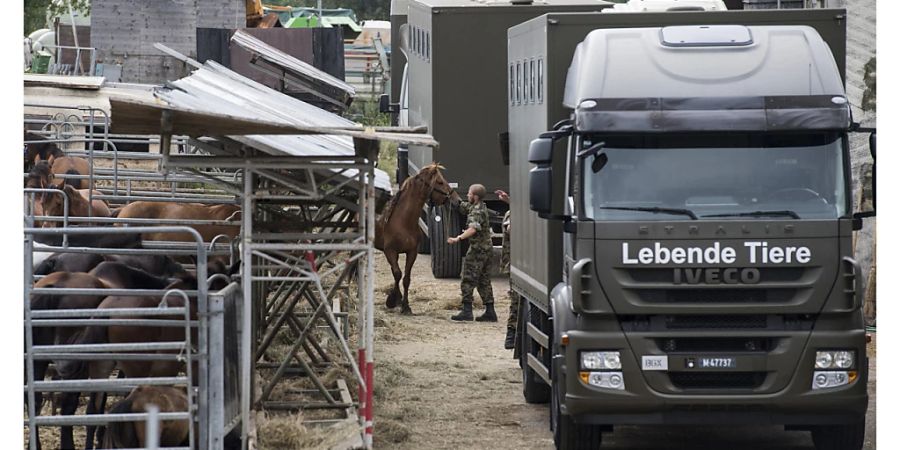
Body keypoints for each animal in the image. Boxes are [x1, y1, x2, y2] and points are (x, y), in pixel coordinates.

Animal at [374, 163, 460, 314]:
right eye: (439, 182)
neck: (403, 221)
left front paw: (405, 305)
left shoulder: (412, 252)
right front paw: (392, 300)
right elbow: (397, 273)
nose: (458, 200)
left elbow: (406, 278)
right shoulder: (390, 251)